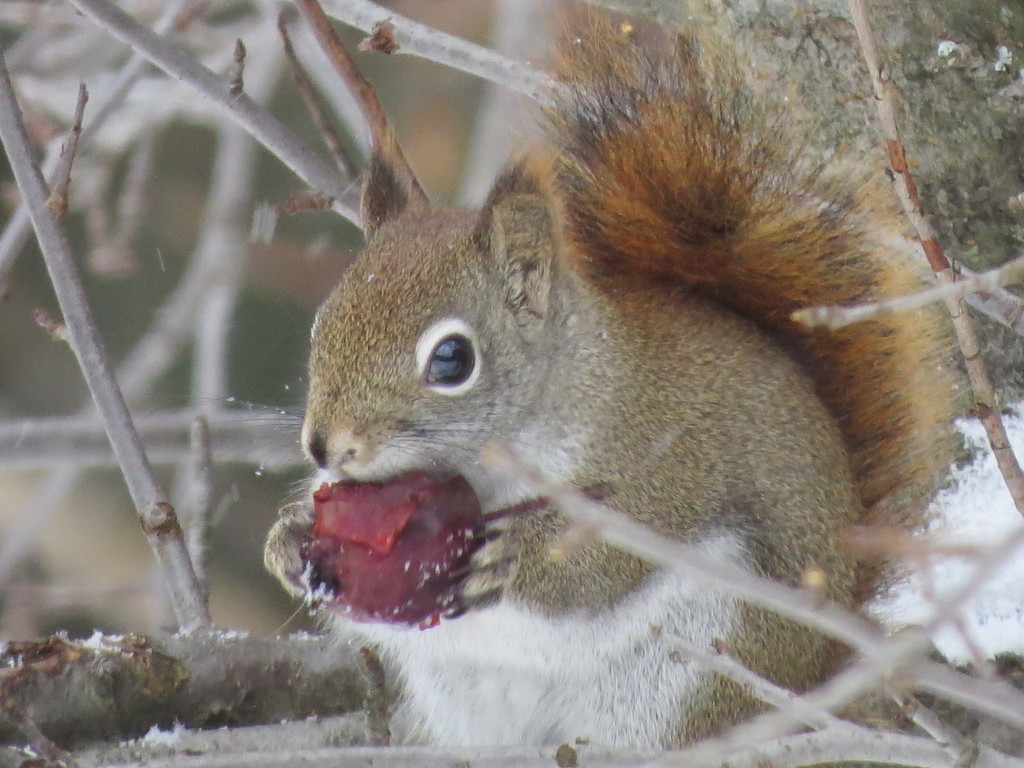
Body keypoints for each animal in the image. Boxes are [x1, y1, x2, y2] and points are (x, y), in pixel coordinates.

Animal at [262, 12, 950, 753]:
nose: (326, 447)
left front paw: (523, 559)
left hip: (700, 663)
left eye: (451, 360)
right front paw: (288, 538)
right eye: (321, 325)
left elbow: (615, 551)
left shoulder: (664, 459)